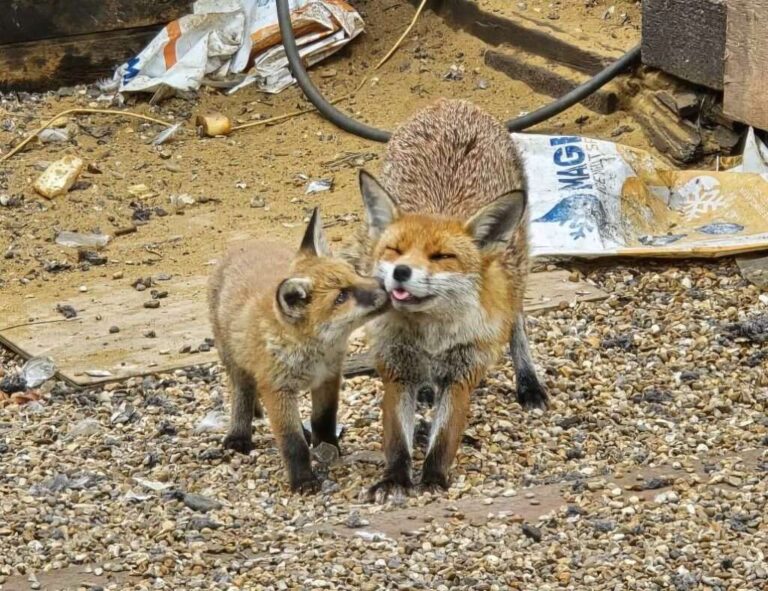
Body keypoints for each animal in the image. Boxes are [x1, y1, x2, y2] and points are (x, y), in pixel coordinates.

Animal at [208, 208, 388, 493]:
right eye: (341, 297)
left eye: (354, 273)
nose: (385, 286)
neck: (313, 354)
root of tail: (245, 245)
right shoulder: (277, 389)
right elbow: (292, 443)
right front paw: (302, 479)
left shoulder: (328, 378)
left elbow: (323, 420)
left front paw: (328, 449)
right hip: (235, 362)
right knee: (242, 395)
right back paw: (238, 435)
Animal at [343, 99, 548, 501]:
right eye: (394, 250)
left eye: (441, 257)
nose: (401, 271)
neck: (431, 335)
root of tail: (453, 103)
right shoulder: (396, 368)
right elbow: (397, 439)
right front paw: (395, 479)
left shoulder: (462, 372)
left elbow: (444, 438)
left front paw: (434, 480)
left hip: (518, 268)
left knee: (517, 323)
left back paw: (529, 382)